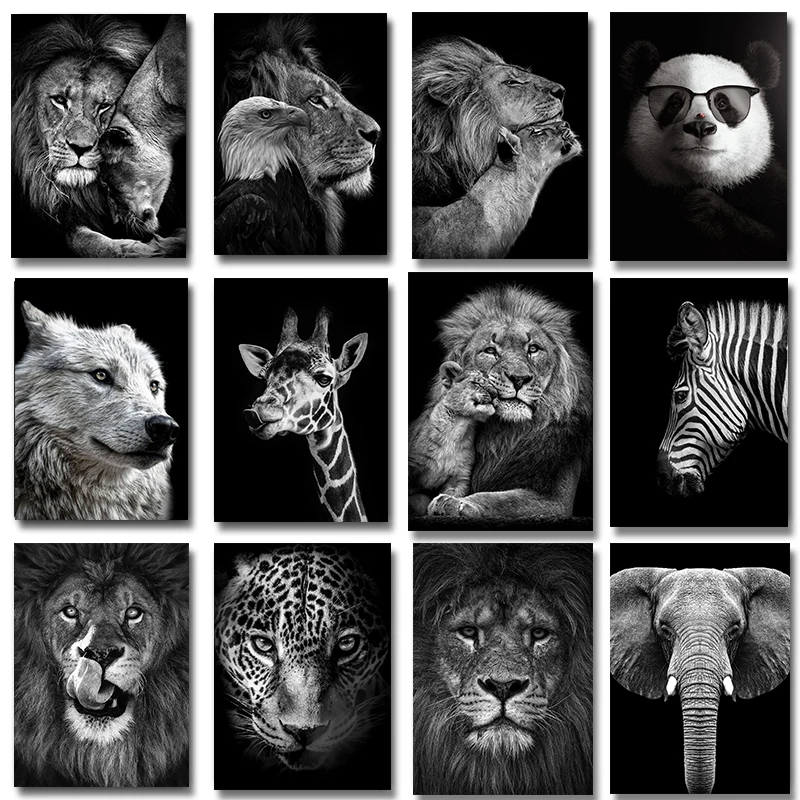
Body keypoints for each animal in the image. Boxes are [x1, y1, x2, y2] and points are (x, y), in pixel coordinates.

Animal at [408, 361, 497, 516]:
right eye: (476, 383)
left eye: (495, 386)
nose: (495, 394)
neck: (458, 428)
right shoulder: (411, 464)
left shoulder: (459, 477)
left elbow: (453, 495)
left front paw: (445, 506)